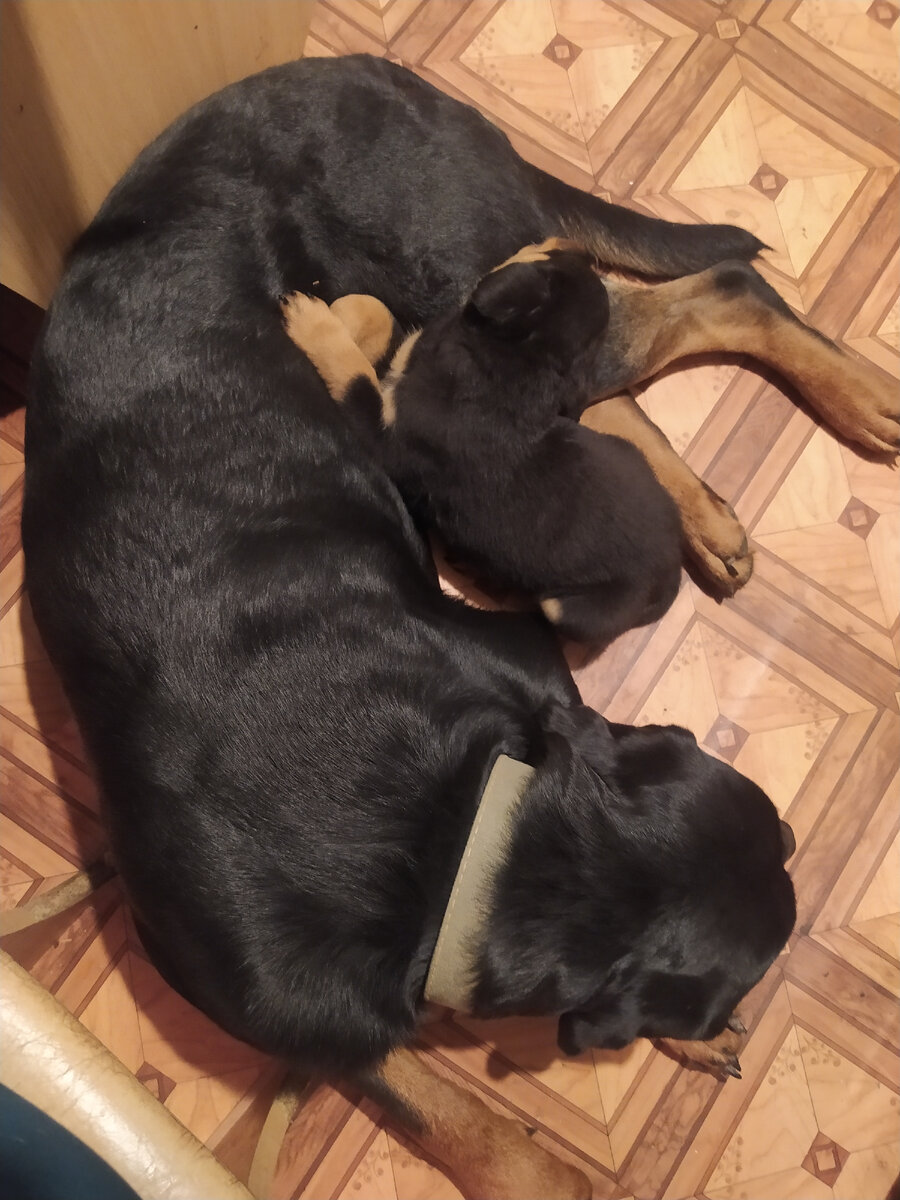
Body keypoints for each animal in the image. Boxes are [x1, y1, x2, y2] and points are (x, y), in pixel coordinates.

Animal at [22, 54, 894, 1198]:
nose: (790, 839)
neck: (453, 844)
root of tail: (370, 69)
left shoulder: (526, 667)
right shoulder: (311, 1012)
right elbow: (456, 1121)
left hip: (474, 285)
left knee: (704, 300)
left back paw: (848, 399)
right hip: (506, 314)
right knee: (626, 384)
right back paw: (706, 513)